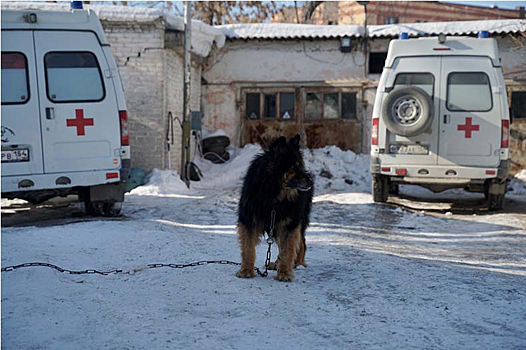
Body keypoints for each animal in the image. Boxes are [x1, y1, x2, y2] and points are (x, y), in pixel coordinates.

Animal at [237, 134, 316, 282]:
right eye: (293, 167)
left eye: (301, 166)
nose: (311, 182)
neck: (273, 195)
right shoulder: (249, 220)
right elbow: (248, 248)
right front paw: (246, 270)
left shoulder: (289, 224)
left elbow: (287, 250)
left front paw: (284, 273)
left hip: (297, 219)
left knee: (301, 242)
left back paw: (297, 263)